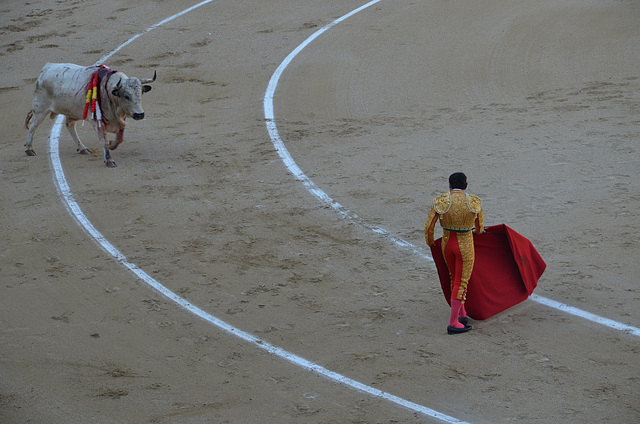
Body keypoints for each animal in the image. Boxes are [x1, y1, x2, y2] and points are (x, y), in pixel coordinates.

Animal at [25, 63, 156, 167]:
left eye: (141, 93)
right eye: (127, 96)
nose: (140, 114)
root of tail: (46, 68)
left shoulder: (119, 119)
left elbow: (120, 137)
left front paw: (112, 145)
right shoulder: (97, 121)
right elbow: (104, 140)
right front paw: (109, 160)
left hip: (72, 111)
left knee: (70, 125)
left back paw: (82, 148)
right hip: (40, 109)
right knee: (33, 126)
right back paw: (29, 149)